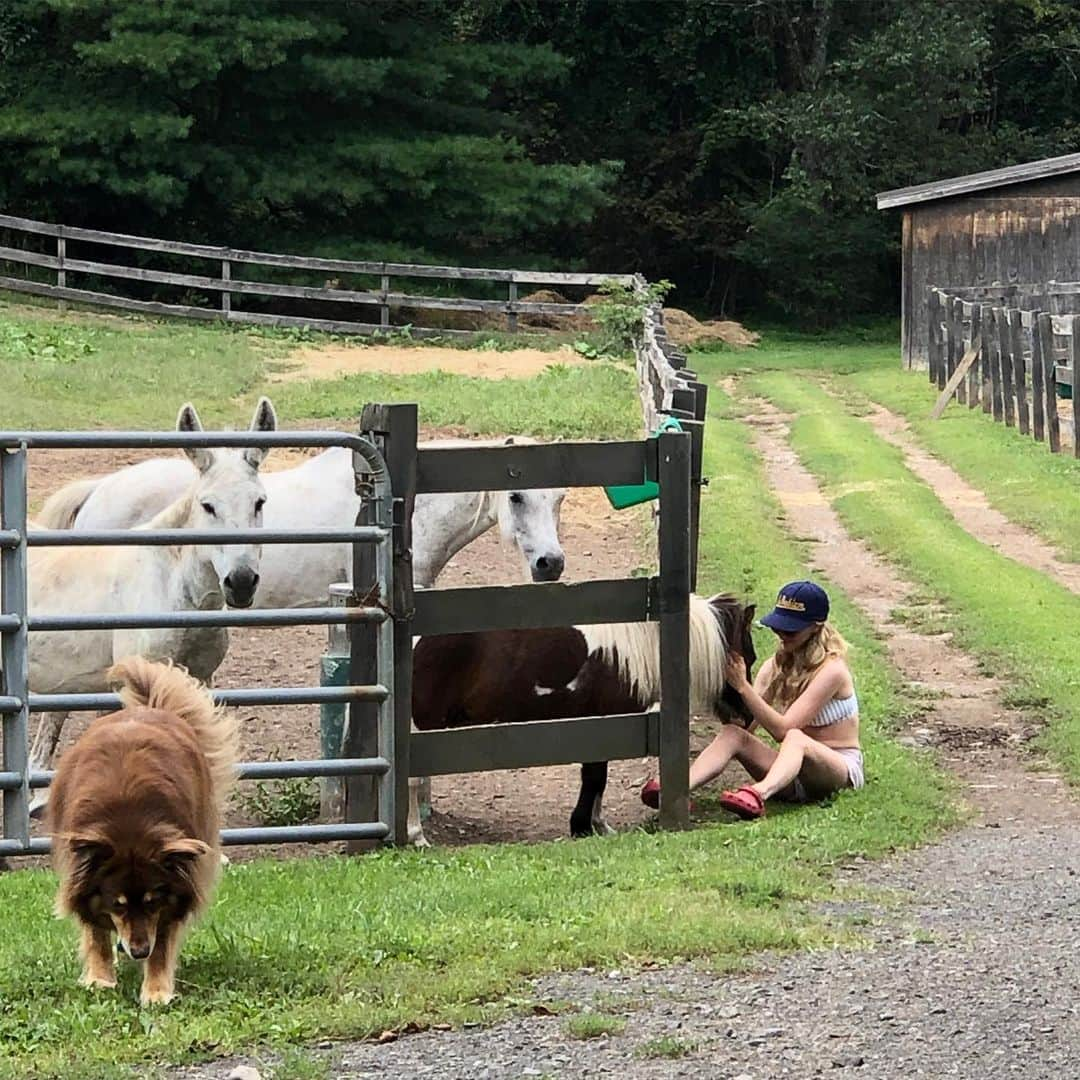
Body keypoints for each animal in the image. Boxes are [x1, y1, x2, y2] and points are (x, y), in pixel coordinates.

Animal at [47, 652, 237, 1006]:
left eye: (152, 902)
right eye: (117, 904)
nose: (138, 951)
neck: (129, 826)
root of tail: (150, 707)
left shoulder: (177, 887)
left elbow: (163, 939)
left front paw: (157, 990)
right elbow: (94, 929)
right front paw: (100, 978)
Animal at [408, 591, 756, 842]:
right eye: (747, 657)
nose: (746, 717)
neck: (628, 653)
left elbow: (597, 778)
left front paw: (597, 825)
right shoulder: (602, 723)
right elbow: (595, 777)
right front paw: (583, 826)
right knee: (411, 782)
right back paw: (417, 837)